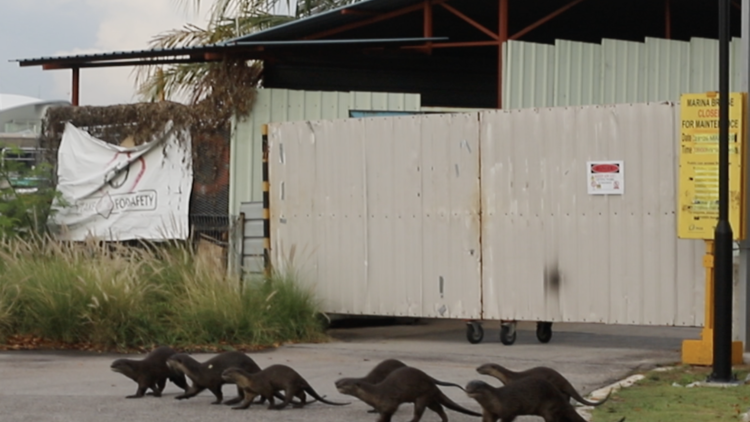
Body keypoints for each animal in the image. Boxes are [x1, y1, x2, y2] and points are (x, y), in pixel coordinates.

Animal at [222, 364, 352, 410]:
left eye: (228, 372)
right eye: (224, 370)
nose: (222, 373)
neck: (249, 382)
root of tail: (300, 377)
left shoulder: (265, 388)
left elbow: (270, 397)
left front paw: (271, 406)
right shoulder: (249, 392)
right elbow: (246, 402)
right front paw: (238, 407)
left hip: (290, 385)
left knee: (288, 398)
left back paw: (279, 407)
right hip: (297, 388)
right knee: (302, 395)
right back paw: (299, 405)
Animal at [336, 364, 482, 420]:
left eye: (344, 383)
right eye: (341, 380)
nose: (336, 383)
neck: (376, 394)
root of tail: (431, 382)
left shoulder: (389, 404)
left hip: (422, 396)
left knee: (419, 413)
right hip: (429, 398)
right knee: (439, 408)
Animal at [468, 380, 624, 422]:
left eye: (476, 387)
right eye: (468, 384)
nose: (468, 389)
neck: (496, 400)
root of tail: (560, 396)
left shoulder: (509, 409)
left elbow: (508, 418)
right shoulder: (488, 412)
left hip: (549, 408)